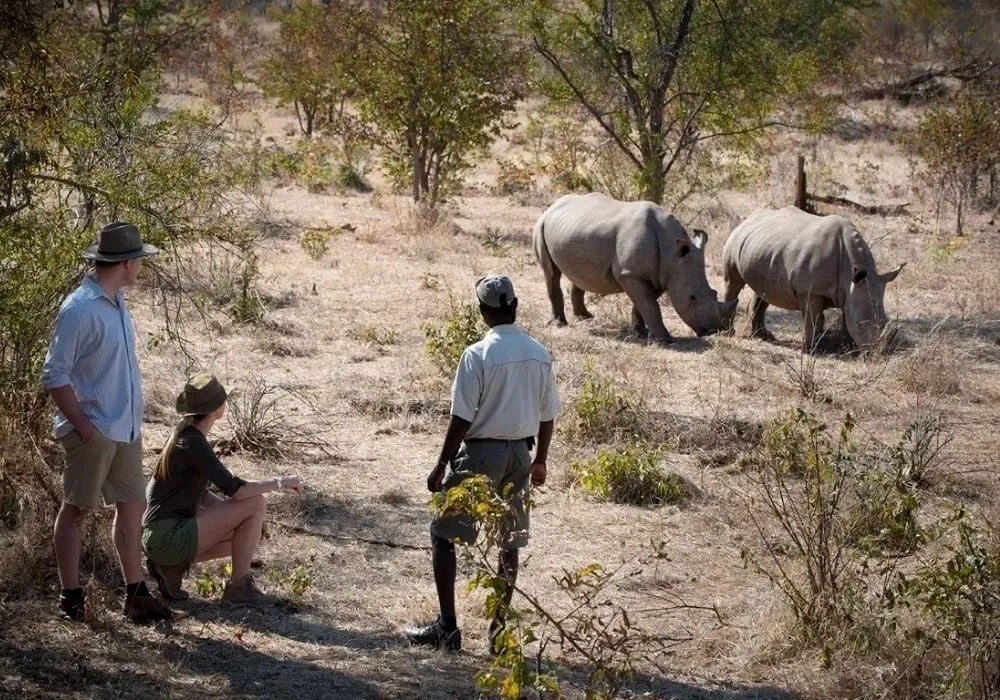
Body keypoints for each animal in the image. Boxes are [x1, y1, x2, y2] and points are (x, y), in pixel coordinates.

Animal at [533, 193, 737, 344]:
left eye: (714, 293)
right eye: (692, 298)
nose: (715, 330)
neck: (672, 253)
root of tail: (552, 206)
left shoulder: (659, 276)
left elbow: (644, 304)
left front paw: (641, 333)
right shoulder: (631, 274)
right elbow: (650, 305)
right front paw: (665, 340)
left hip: (575, 229)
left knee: (581, 273)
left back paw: (585, 317)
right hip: (541, 224)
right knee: (551, 273)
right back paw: (560, 324)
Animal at [721, 206, 905, 353]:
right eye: (860, 324)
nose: (879, 353)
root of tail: (749, 218)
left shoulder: (850, 291)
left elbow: (846, 318)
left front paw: (847, 346)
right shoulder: (810, 291)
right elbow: (814, 319)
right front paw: (810, 350)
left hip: (763, 247)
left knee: (764, 290)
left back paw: (764, 336)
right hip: (734, 239)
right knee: (733, 283)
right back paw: (728, 332)